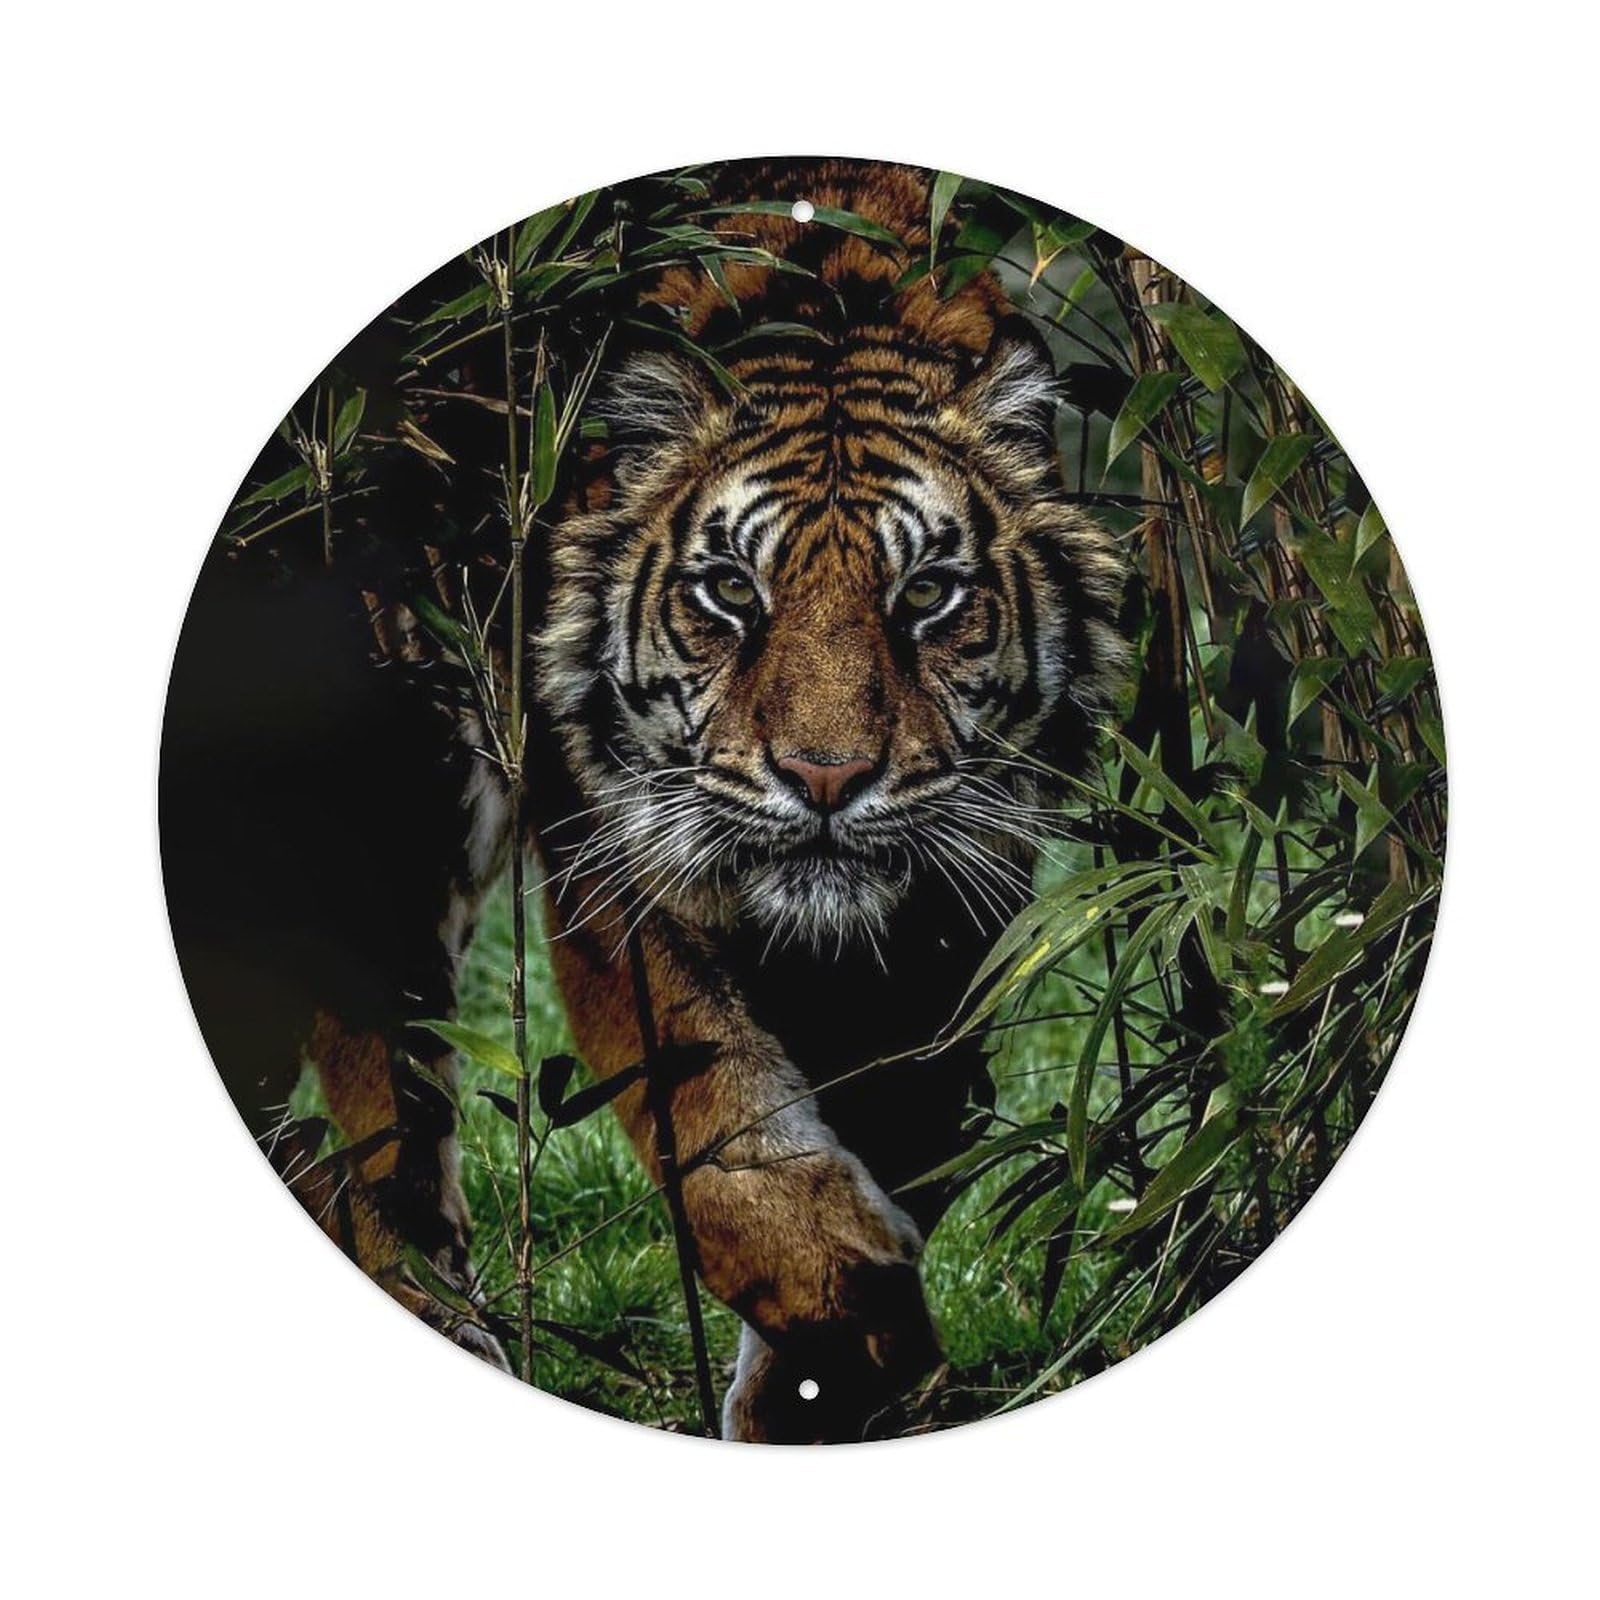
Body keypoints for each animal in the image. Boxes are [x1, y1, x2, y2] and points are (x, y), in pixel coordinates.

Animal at [161, 158, 1124, 1443]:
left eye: (925, 594)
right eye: (730, 591)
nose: (826, 776)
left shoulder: (960, 886)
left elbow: (914, 1104)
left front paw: (818, 1390)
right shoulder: (619, 858)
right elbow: (718, 1118)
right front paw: (850, 1318)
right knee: (380, 1059)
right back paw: (430, 1301)